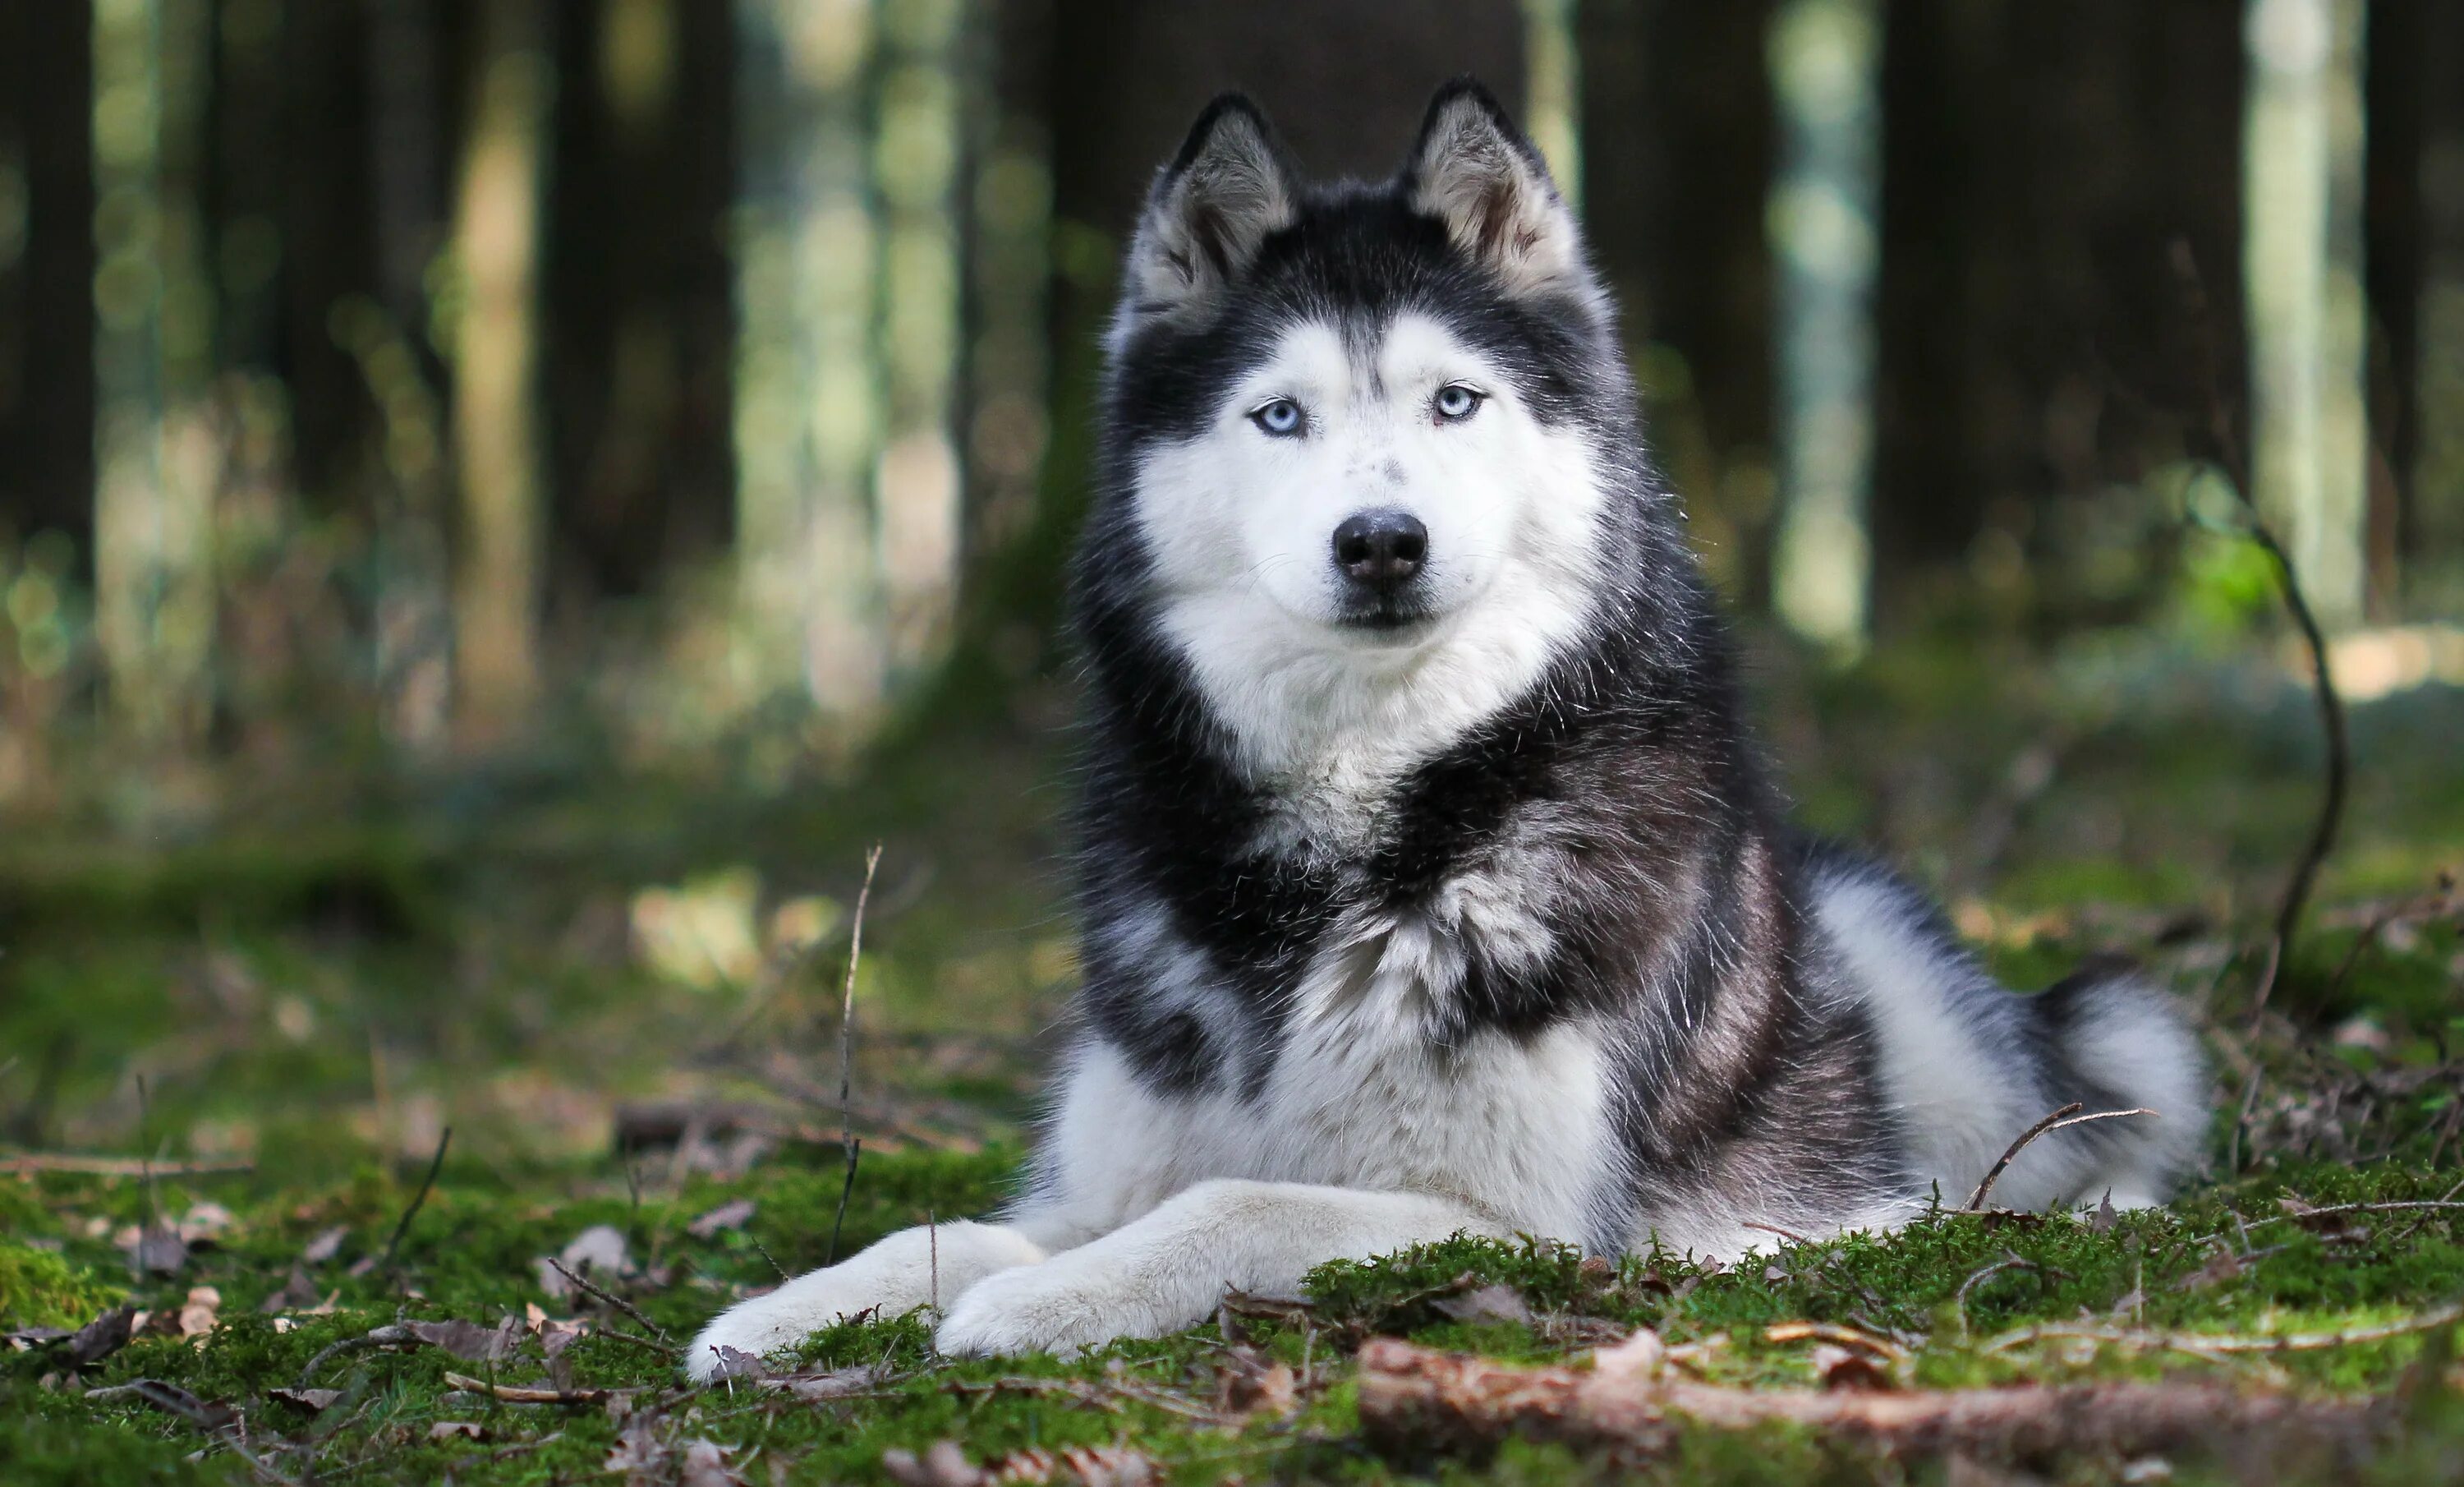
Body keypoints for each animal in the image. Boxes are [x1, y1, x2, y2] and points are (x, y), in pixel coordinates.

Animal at [685, 75, 2208, 1380]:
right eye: (1280, 416)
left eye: (1454, 400)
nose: (1381, 542)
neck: (1362, 817)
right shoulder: (1112, 1159)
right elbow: (951, 1228)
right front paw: (784, 1311)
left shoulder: (1525, 1221)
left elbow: (1236, 1203)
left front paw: (1045, 1303)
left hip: (1915, 991)